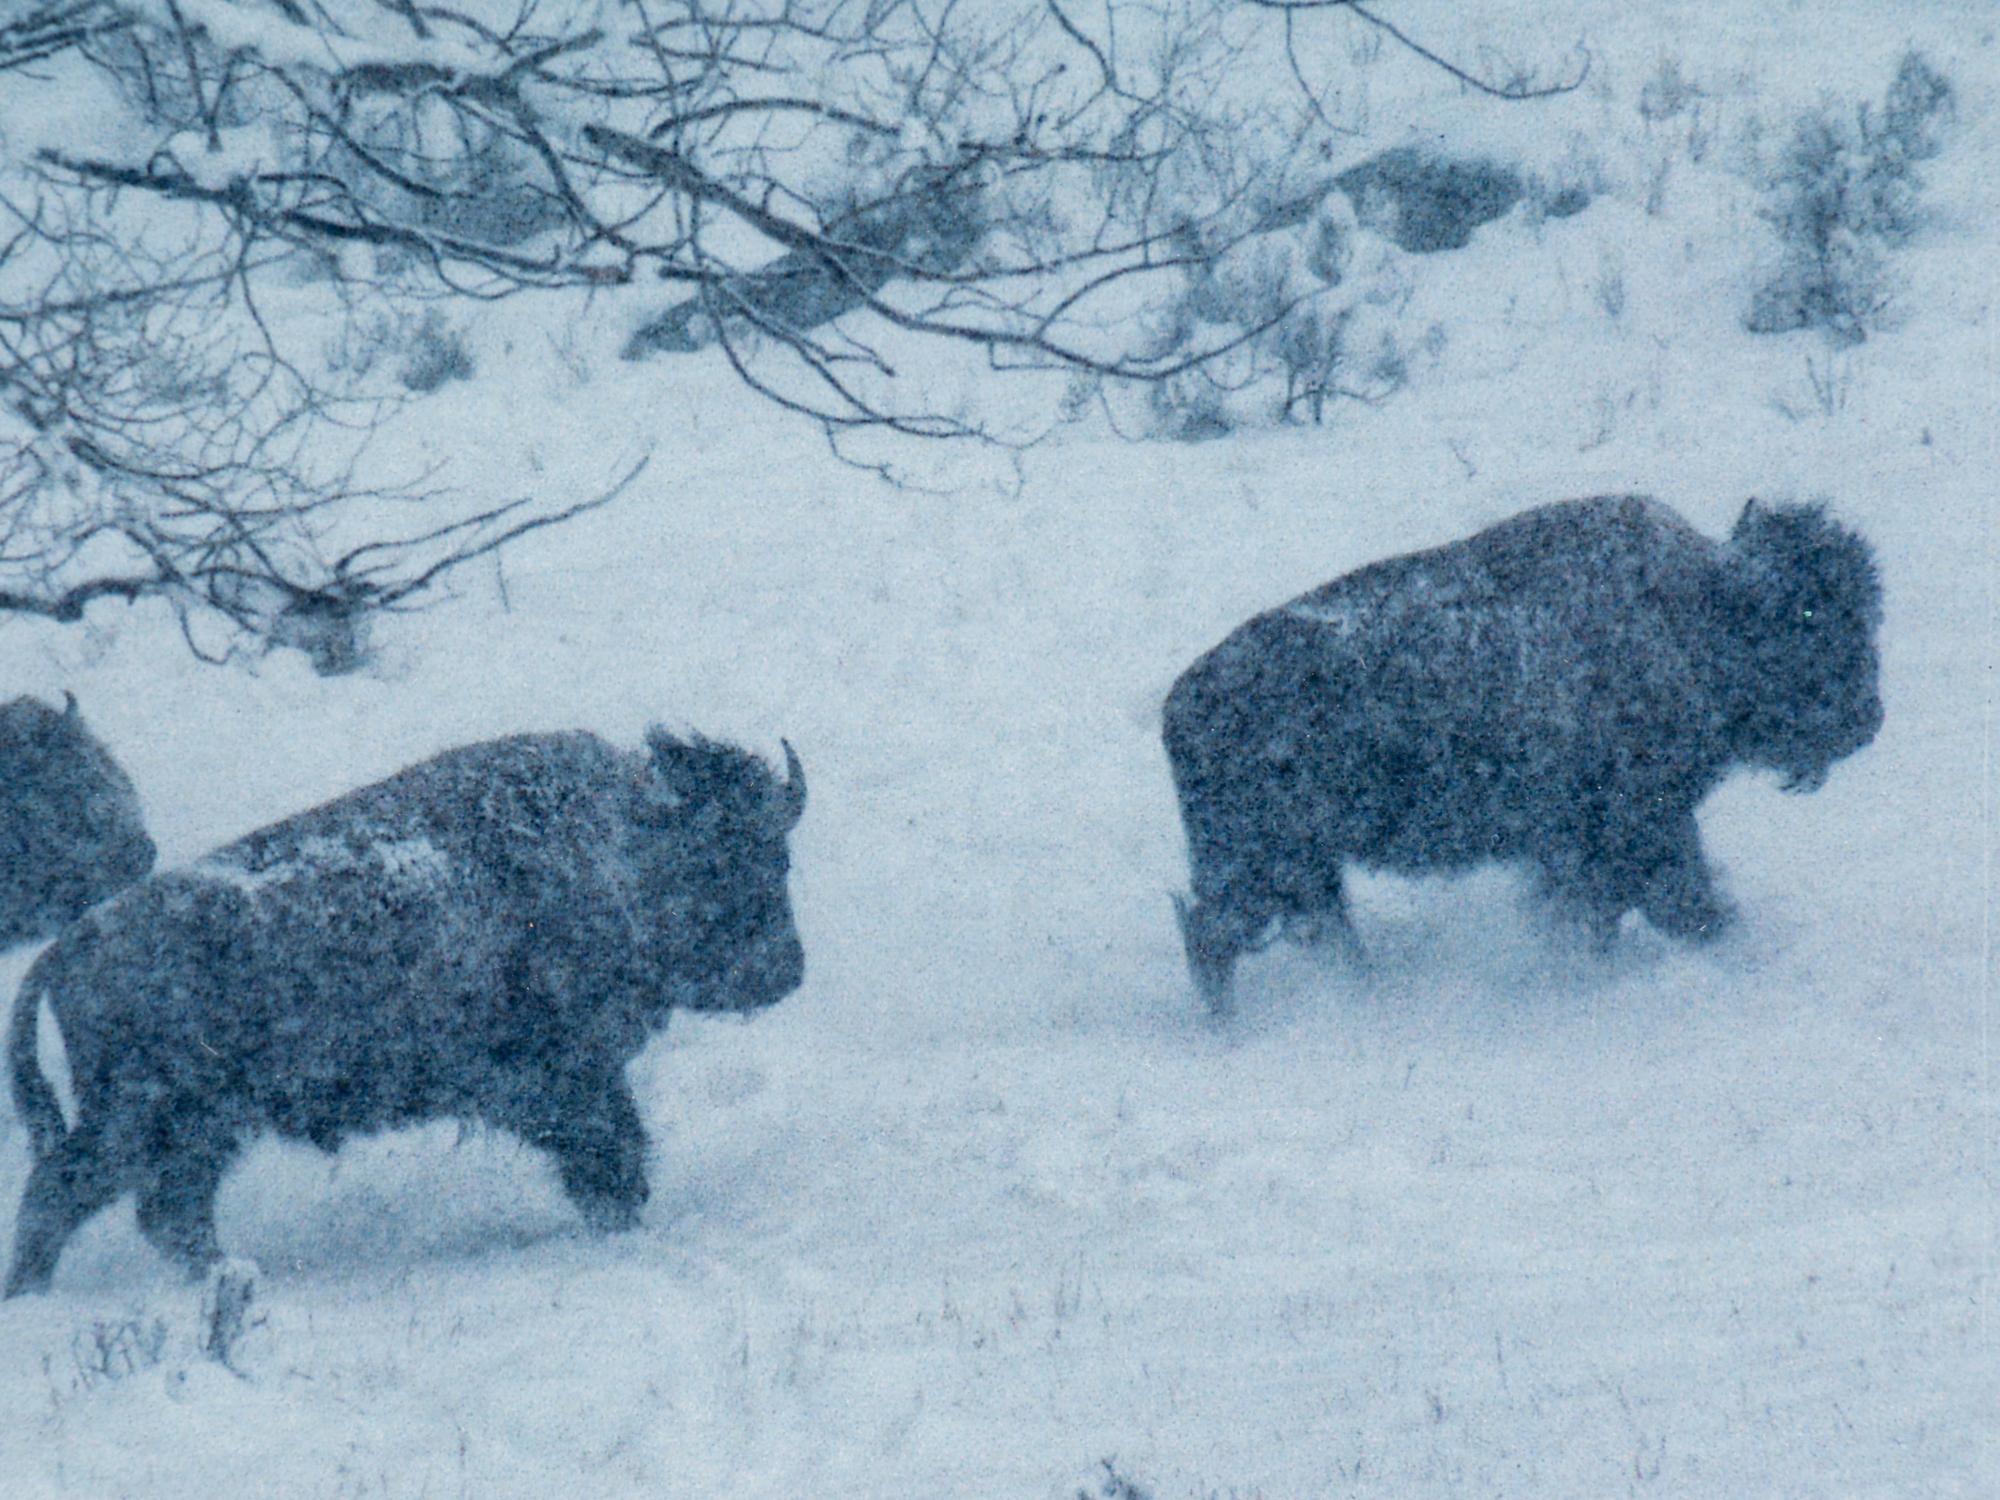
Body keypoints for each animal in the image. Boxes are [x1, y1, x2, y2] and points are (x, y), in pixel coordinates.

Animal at [5, 728, 806, 1295]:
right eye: (737, 859)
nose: (787, 970)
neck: (626, 845)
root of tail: (68, 947)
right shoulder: (570, 1079)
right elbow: (613, 1153)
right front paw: (622, 1223)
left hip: (203, 1132)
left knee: (166, 1214)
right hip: (146, 1123)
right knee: (63, 1194)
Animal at [1164, 495, 1883, 1009]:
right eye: (1812, 617)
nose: (1868, 719)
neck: (1693, 615)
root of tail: (1180, 703)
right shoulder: (1638, 828)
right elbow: (1681, 907)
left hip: (1303, 869)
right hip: (1265, 866)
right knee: (1216, 936)